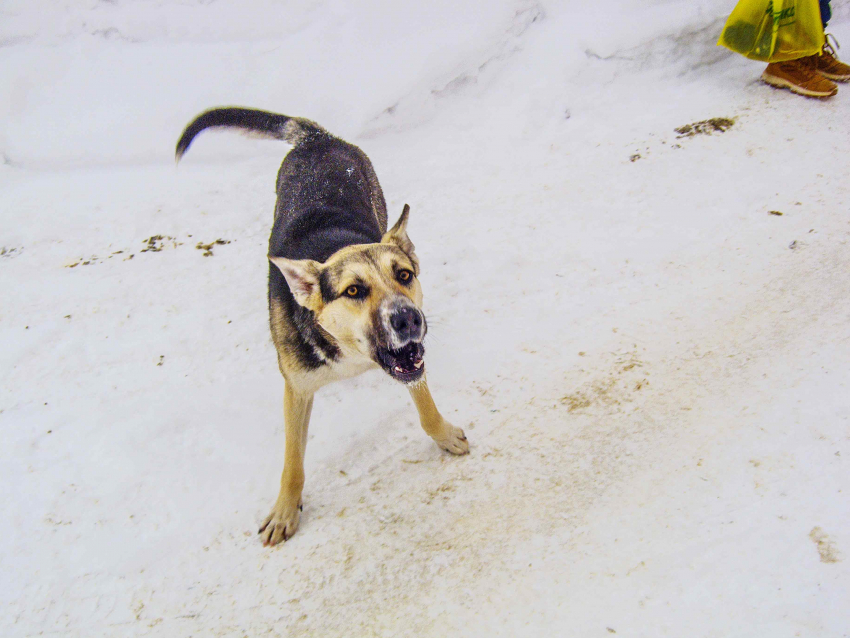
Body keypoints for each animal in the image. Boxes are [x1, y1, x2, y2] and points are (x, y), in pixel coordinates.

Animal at [177, 107, 470, 548]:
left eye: (404, 275)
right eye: (353, 290)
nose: (408, 318)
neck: (350, 353)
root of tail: (316, 138)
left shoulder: (409, 360)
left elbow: (425, 406)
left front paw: (444, 434)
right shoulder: (296, 388)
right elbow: (292, 461)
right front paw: (285, 510)